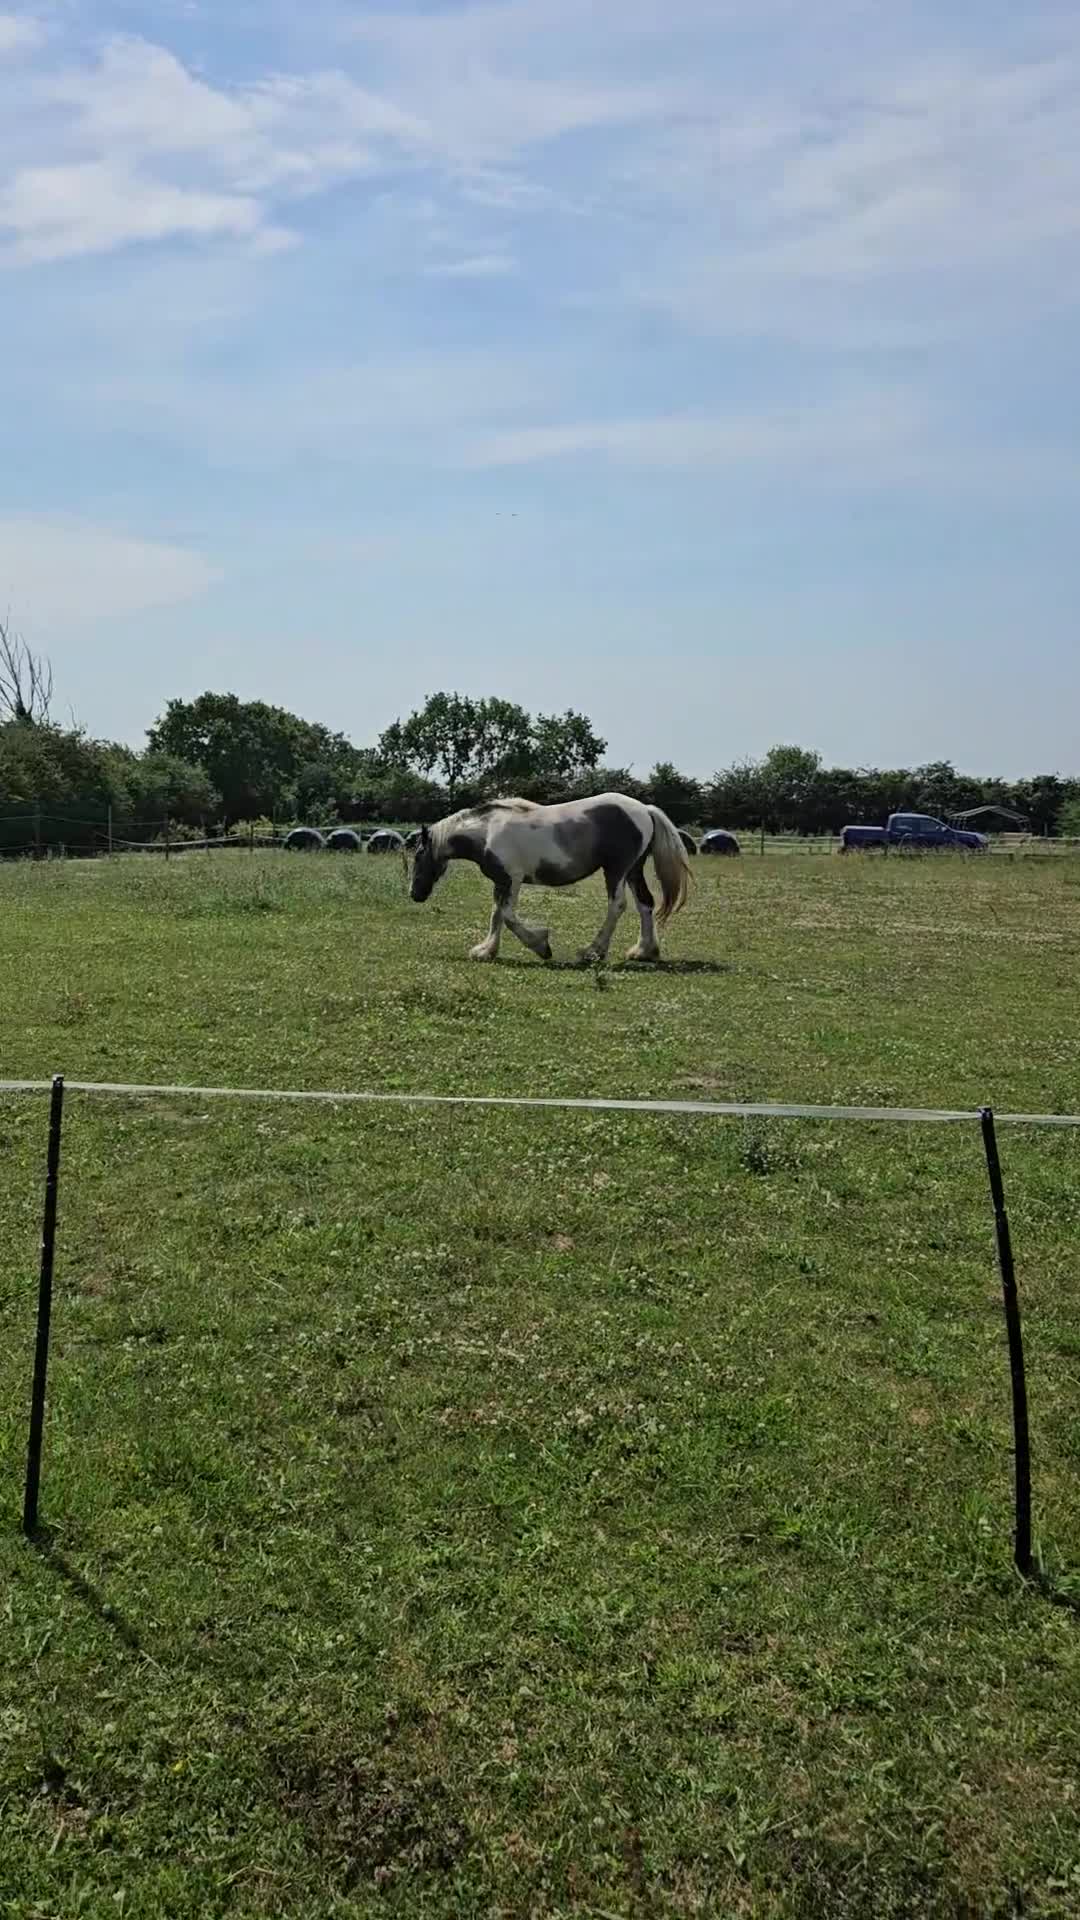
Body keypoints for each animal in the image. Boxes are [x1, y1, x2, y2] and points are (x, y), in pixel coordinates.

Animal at [409, 792, 691, 963]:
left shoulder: (512, 879)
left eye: (418, 855)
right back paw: (643, 951)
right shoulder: (501, 882)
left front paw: (541, 945)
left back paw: (593, 951)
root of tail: (645, 809)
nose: (414, 894)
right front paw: (486, 951)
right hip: (633, 871)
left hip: (616, 870)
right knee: (646, 904)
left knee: (618, 905)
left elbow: (508, 917)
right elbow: (496, 915)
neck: (486, 833)